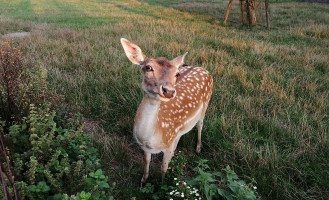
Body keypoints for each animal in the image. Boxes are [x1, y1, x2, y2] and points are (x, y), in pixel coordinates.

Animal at [120, 38, 213, 184]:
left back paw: (198, 148)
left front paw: (162, 183)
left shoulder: (167, 142)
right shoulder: (146, 147)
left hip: (206, 103)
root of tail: (203, 69)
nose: (168, 90)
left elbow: (163, 168)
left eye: (177, 73)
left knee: (200, 123)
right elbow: (146, 160)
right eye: (148, 67)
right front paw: (143, 180)